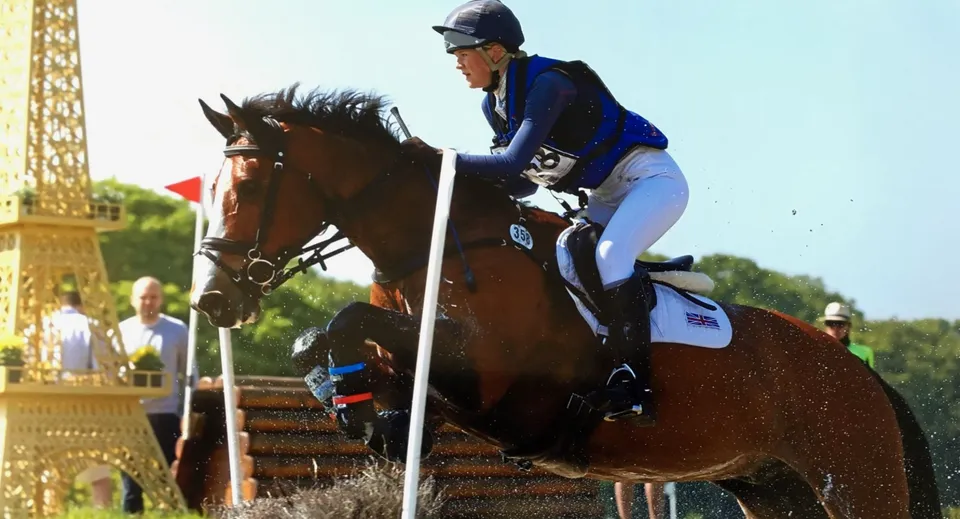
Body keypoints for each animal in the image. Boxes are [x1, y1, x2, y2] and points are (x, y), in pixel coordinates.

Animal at [187, 85, 942, 519]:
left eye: (248, 188)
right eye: (216, 187)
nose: (212, 301)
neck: (437, 244)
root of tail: (864, 375)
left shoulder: (490, 371)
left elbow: (346, 318)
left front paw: (365, 409)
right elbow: (326, 340)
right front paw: (364, 412)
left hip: (857, 480)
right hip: (775, 490)